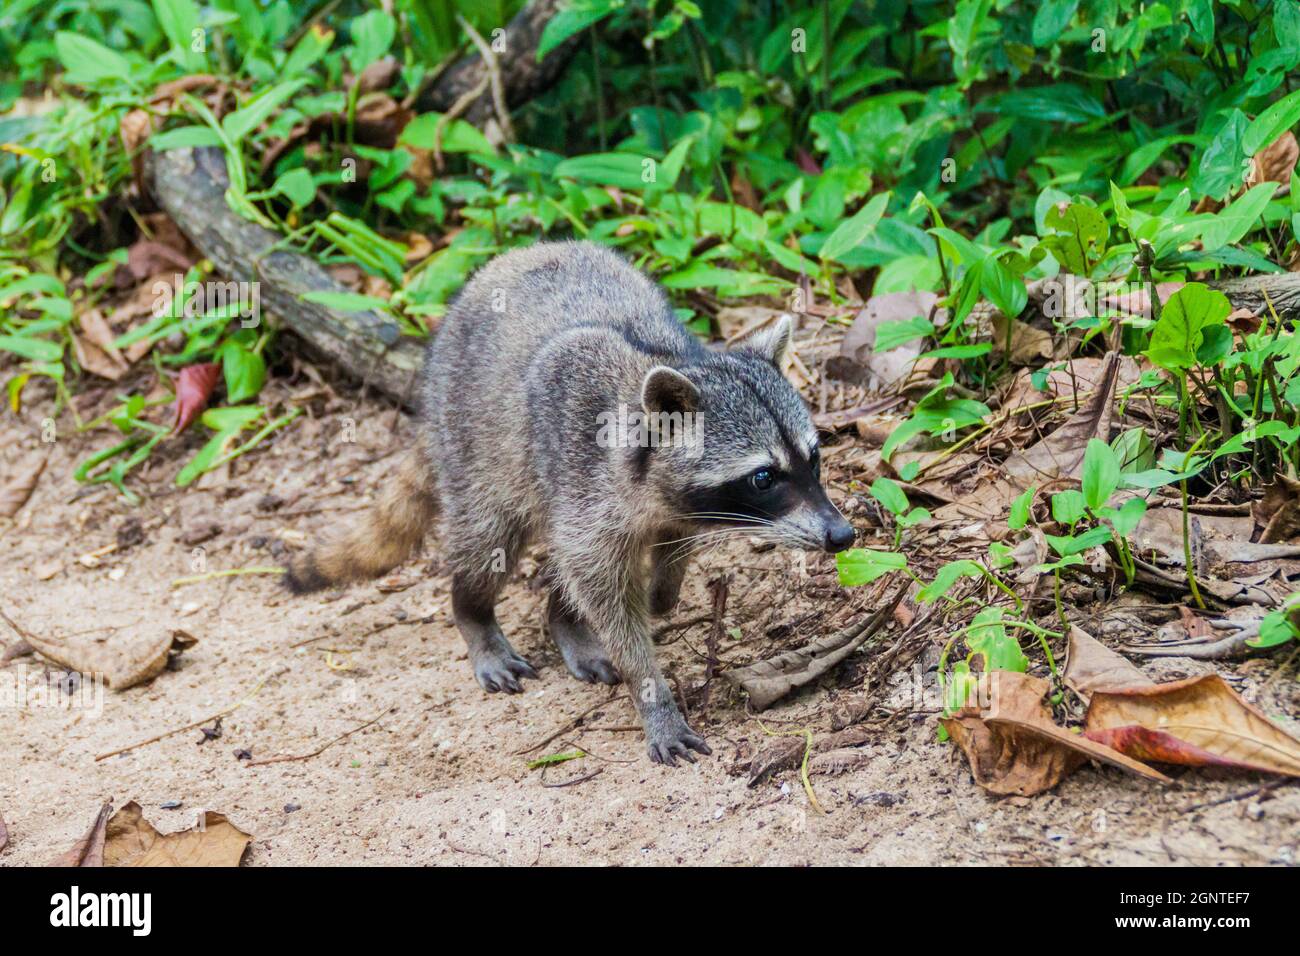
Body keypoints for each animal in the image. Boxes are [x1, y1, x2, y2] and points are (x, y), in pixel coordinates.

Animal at [286, 241, 855, 765]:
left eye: (814, 460)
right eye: (764, 478)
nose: (842, 534)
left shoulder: (670, 504)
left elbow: (660, 553)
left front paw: (662, 587)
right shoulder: (582, 473)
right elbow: (604, 592)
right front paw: (652, 694)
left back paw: (564, 619)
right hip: (476, 444)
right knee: (490, 542)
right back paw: (474, 613)